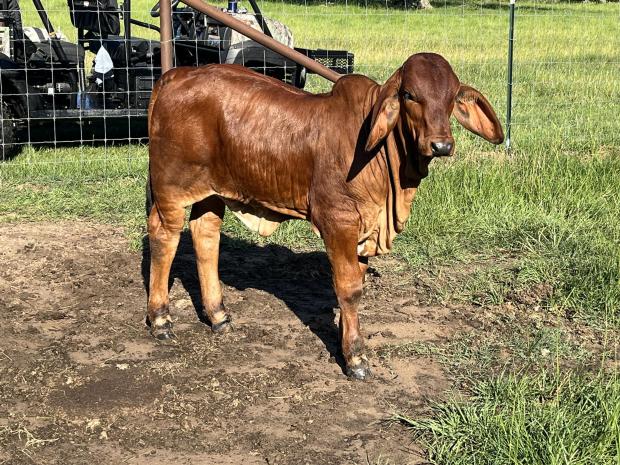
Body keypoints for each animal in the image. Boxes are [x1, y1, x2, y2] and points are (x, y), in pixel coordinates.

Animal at [147, 51, 504, 376]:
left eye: (452, 97)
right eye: (409, 95)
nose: (441, 145)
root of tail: (175, 76)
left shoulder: (364, 228)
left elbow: (358, 281)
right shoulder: (339, 221)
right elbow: (350, 288)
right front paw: (355, 357)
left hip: (212, 191)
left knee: (205, 235)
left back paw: (218, 315)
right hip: (171, 188)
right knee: (165, 237)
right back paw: (161, 318)